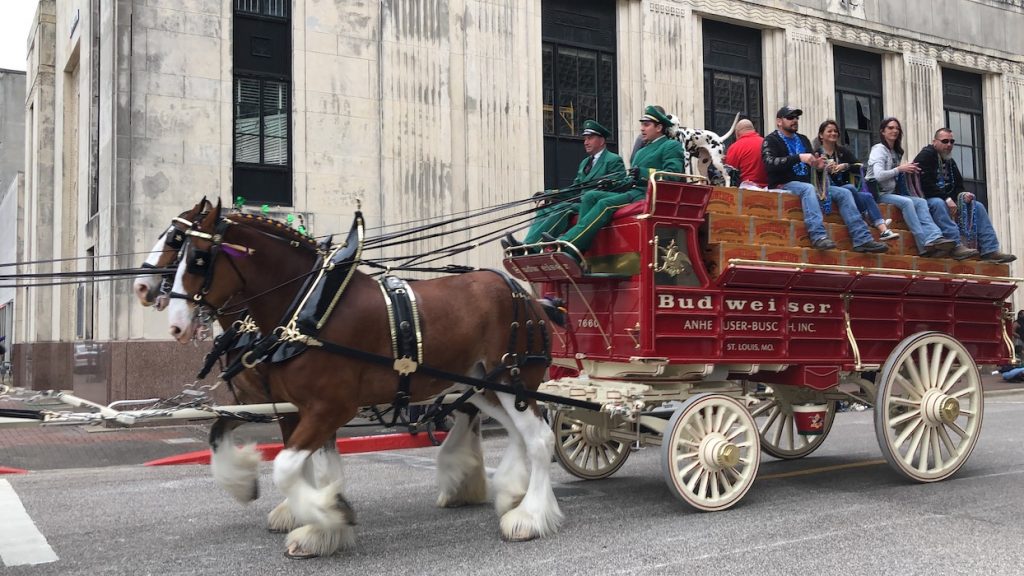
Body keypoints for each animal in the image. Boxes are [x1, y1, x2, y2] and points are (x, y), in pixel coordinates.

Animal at [164, 200, 565, 557]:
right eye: (178, 249)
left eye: (198, 257)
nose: (176, 324)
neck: (309, 309)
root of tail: (531, 299)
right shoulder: (303, 408)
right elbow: (312, 466)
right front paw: (320, 525)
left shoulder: (331, 407)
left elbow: (286, 467)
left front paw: (328, 513)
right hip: (484, 386)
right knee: (518, 433)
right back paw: (511, 492)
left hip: (513, 379)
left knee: (540, 439)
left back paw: (530, 516)